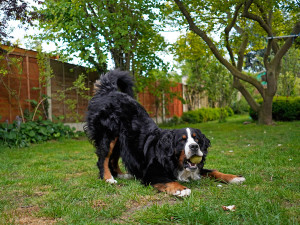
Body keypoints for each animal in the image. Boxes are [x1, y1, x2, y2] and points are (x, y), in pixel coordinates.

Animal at [85, 69, 245, 196]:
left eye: (197, 139)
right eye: (182, 140)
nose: (194, 147)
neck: (173, 160)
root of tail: (109, 91)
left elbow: (212, 171)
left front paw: (234, 177)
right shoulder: (151, 173)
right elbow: (168, 181)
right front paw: (181, 189)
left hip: (122, 140)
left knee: (112, 159)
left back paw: (122, 175)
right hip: (108, 135)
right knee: (103, 158)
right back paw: (108, 179)